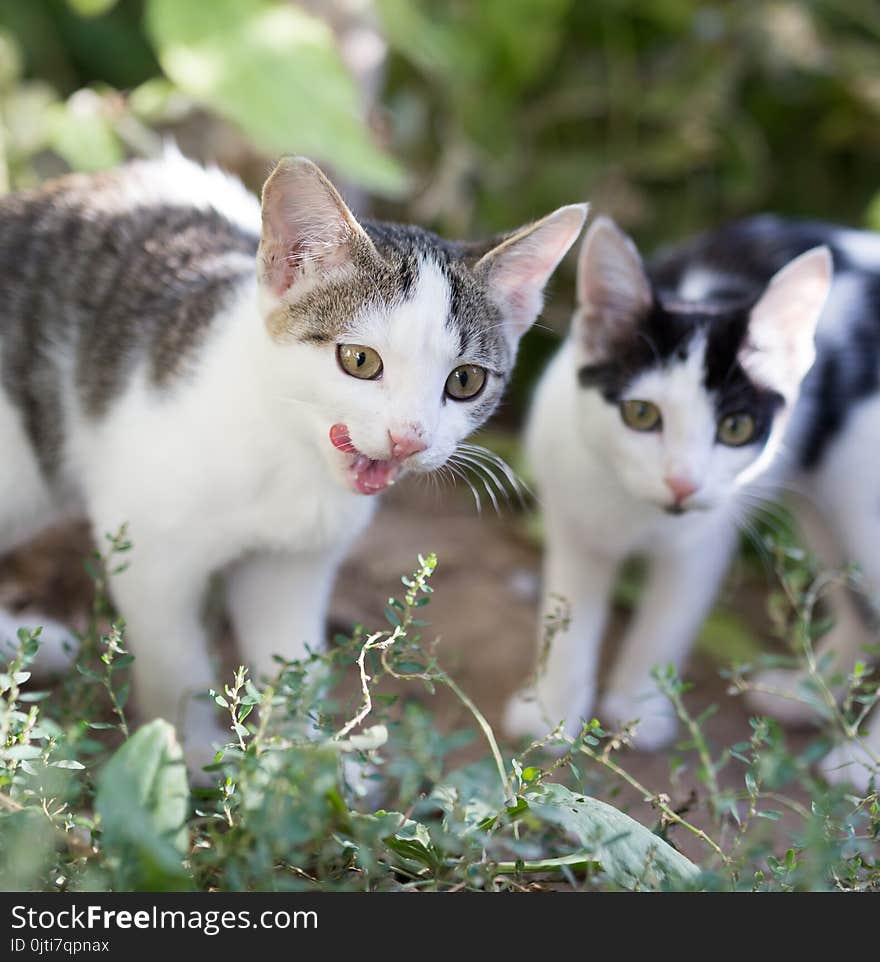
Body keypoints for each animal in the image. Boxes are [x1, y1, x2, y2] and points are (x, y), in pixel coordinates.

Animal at [1, 148, 592, 764]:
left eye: (466, 381)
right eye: (360, 360)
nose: (410, 438)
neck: (291, 460)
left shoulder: (292, 566)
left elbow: (290, 663)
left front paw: (303, 761)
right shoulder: (147, 547)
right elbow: (175, 660)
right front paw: (190, 753)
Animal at [502, 214, 880, 792]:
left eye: (736, 428)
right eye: (640, 414)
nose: (682, 483)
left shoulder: (706, 536)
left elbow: (666, 620)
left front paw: (637, 708)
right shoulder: (573, 514)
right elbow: (567, 617)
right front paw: (551, 715)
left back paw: (862, 760)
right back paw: (806, 693)